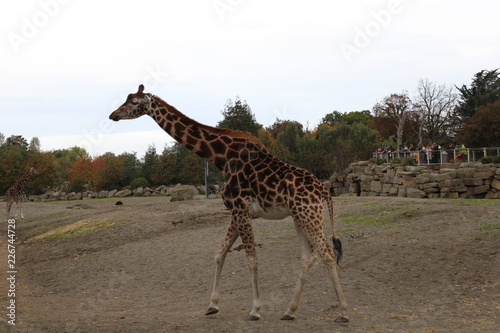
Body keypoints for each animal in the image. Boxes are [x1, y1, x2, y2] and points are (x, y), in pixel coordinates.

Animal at [107, 85, 350, 322]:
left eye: (134, 102)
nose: (113, 115)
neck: (221, 157)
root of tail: (324, 190)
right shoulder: (236, 212)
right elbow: (219, 253)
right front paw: (212, 306)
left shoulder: (240, 208)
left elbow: (251, 259)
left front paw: (255, 310)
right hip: (299, 216)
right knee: (308, 257)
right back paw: (289, 311)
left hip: (308, 215)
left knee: (327, 253)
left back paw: (343, 312)